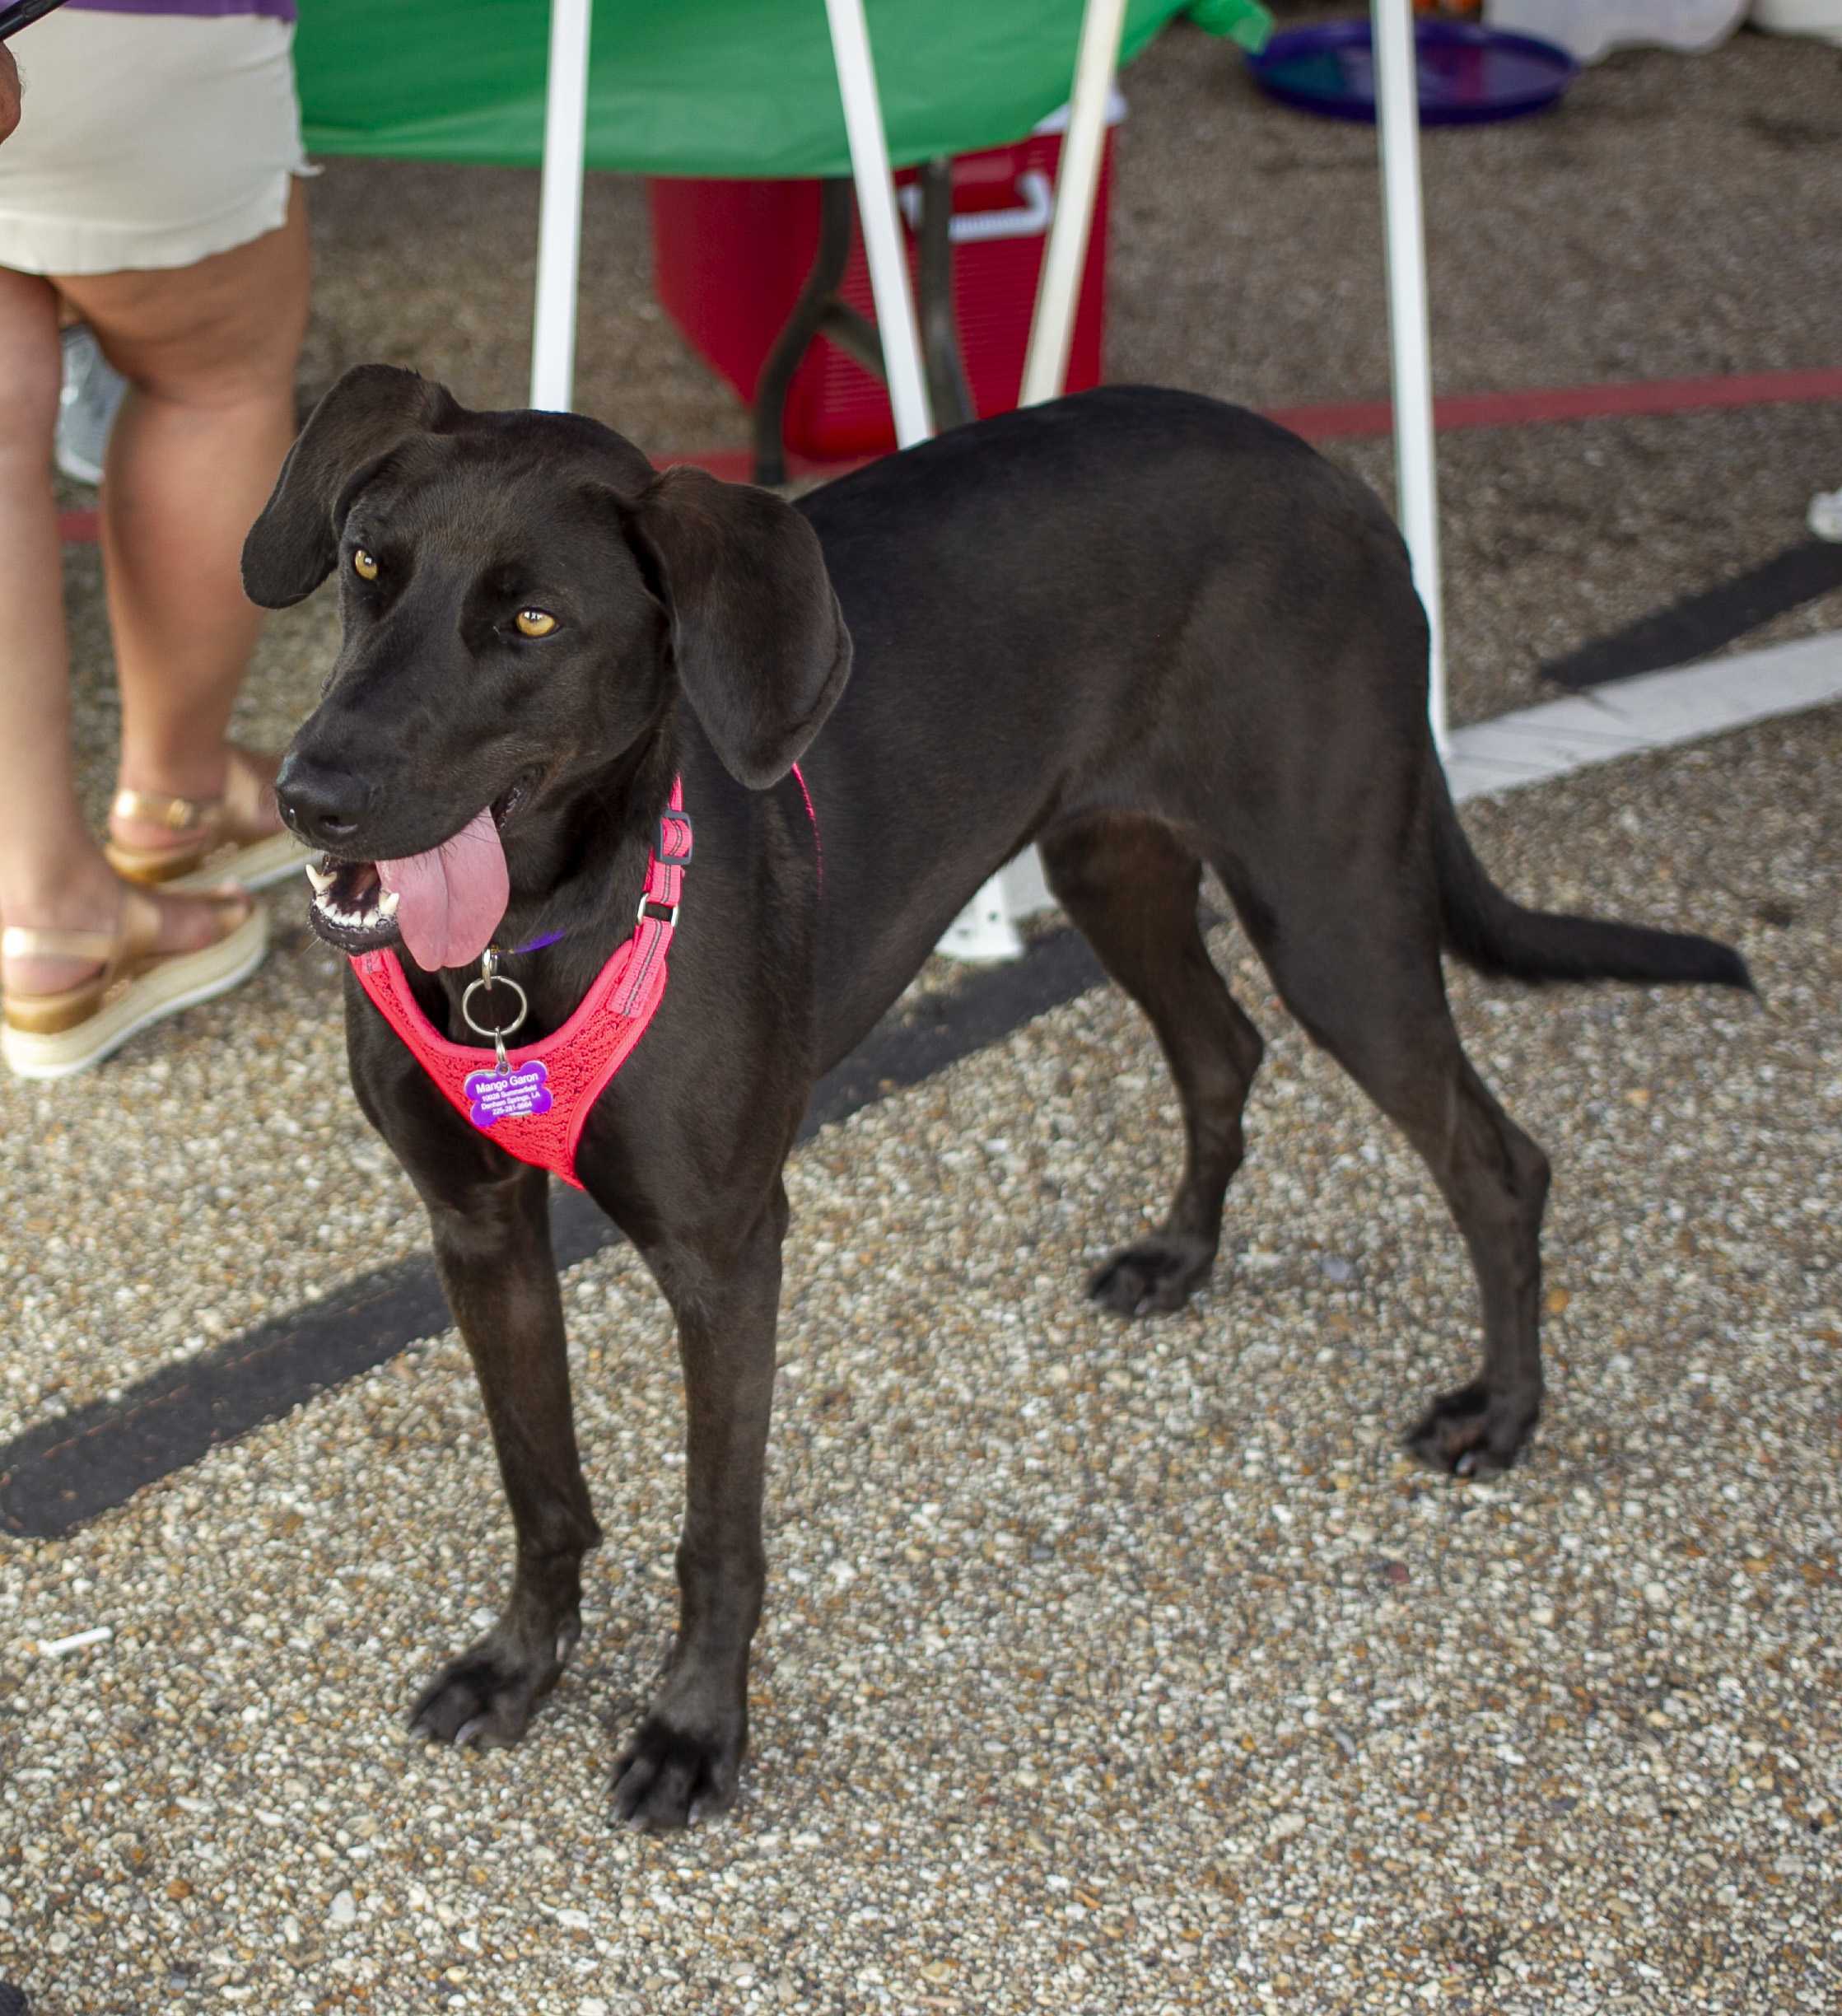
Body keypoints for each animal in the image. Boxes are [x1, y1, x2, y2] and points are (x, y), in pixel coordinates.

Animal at [240, 362, 1741, 1830]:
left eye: (534, 619)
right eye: (368, 565)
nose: (308, 795)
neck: (525, 943)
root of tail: (1327, 474)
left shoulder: (726, 1252)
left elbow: (717, 1530)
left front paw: (693, 1732)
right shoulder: (476, 1226)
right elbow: (537, 1482)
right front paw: (520, 1665)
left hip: (1329, 910)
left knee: (1494, 1157)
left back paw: (1503, 1411)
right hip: (1113, 861)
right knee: (1221, 1050)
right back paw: (1179, 1256)